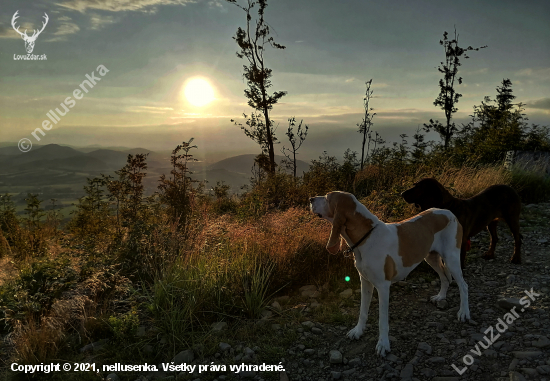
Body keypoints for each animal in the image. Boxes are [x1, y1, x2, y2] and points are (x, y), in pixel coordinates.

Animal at [312, 191, 472, 354]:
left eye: (327, 198)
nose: (311, 199)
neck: (366, 237)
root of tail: (449, 212)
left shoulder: (383, 287)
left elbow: (382, 319)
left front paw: (383, 343)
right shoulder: (365, 282)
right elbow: (363, 311)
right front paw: (358, 331)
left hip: (451, 258)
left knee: (463, 286)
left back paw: (464, 312)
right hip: (431, 257)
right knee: (444, 277)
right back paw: (441, 296)